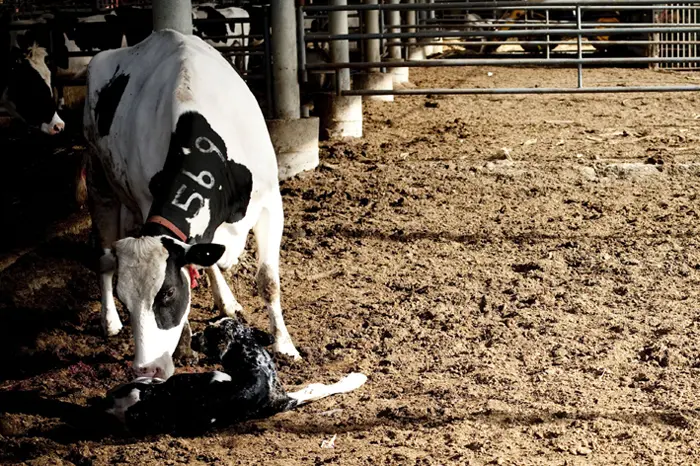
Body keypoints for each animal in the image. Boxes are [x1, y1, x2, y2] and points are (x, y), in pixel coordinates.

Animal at [83, 28, 300, 378]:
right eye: (125, 300)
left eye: (168, 292)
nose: (147, 369)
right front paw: (184, 348)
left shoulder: (270, 203)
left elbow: (268, 281)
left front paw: (285, 345)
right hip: (98, 178)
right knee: (103, 258)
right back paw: (109, 322)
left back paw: (227, 302)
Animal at [102, 316, 366, 436]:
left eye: (208, 331)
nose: (194, 336)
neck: (251, 361)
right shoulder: (285, 400)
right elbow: (317, 388)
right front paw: (354, 378)